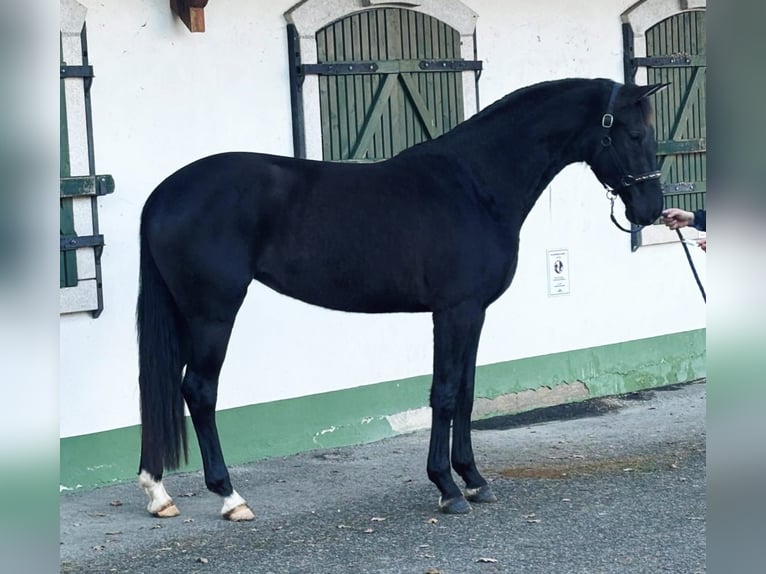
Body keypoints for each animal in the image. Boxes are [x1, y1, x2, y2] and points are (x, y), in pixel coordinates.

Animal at [136, 77, 664, 520]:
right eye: (635, 135)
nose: (651, 209)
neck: (475, 185)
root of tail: (162, 194)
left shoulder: (474, 313)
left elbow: (467, 392)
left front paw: (474, 479)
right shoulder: (454, 311)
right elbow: (445, 394)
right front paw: (447, 488)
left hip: (184, 314)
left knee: (158, 388)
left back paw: (158, 492)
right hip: (212, 314)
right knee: (198, 391)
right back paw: (230, 497)